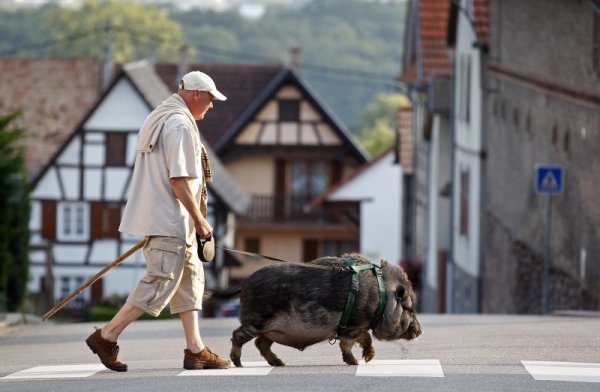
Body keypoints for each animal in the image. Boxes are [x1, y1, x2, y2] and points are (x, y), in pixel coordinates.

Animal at [230, 254, 422, 368]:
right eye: (409, 309)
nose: (420, 331)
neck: (382, 297)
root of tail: (244, 284)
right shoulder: (353, 324)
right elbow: (346, 344)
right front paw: (354, 363)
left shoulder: (359, 326)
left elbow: (366, 338)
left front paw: (368, 358)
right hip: (256, 321)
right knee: (238, 336)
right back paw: (238, 363)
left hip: (271, 330)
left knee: (261, 343)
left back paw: (280, 363)